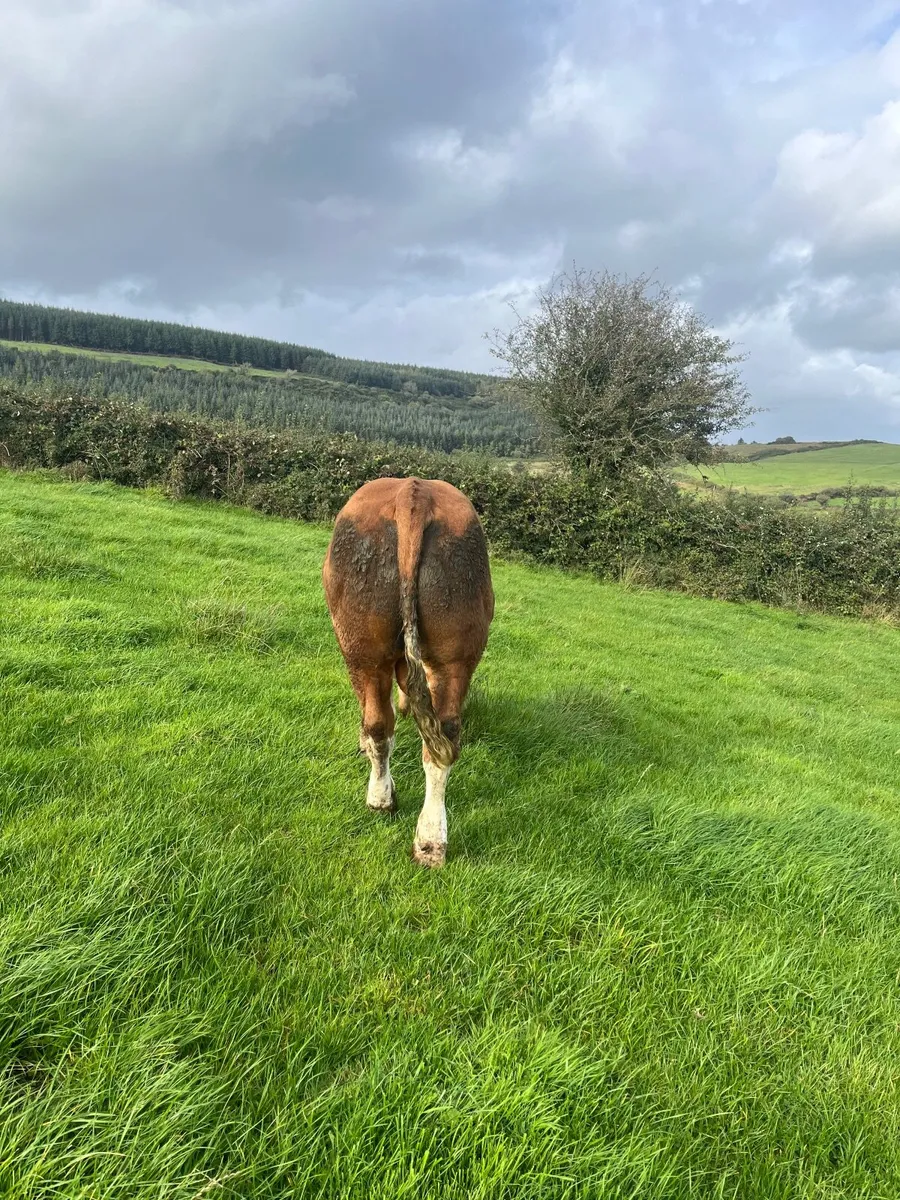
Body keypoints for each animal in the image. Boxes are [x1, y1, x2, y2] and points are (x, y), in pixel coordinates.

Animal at [323, 476, 494, 867]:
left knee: (377, 724)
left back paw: (381, 800)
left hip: (360, 651)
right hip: (454, 653)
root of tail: (413, 493)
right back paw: (431, 841)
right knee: (444, 737)